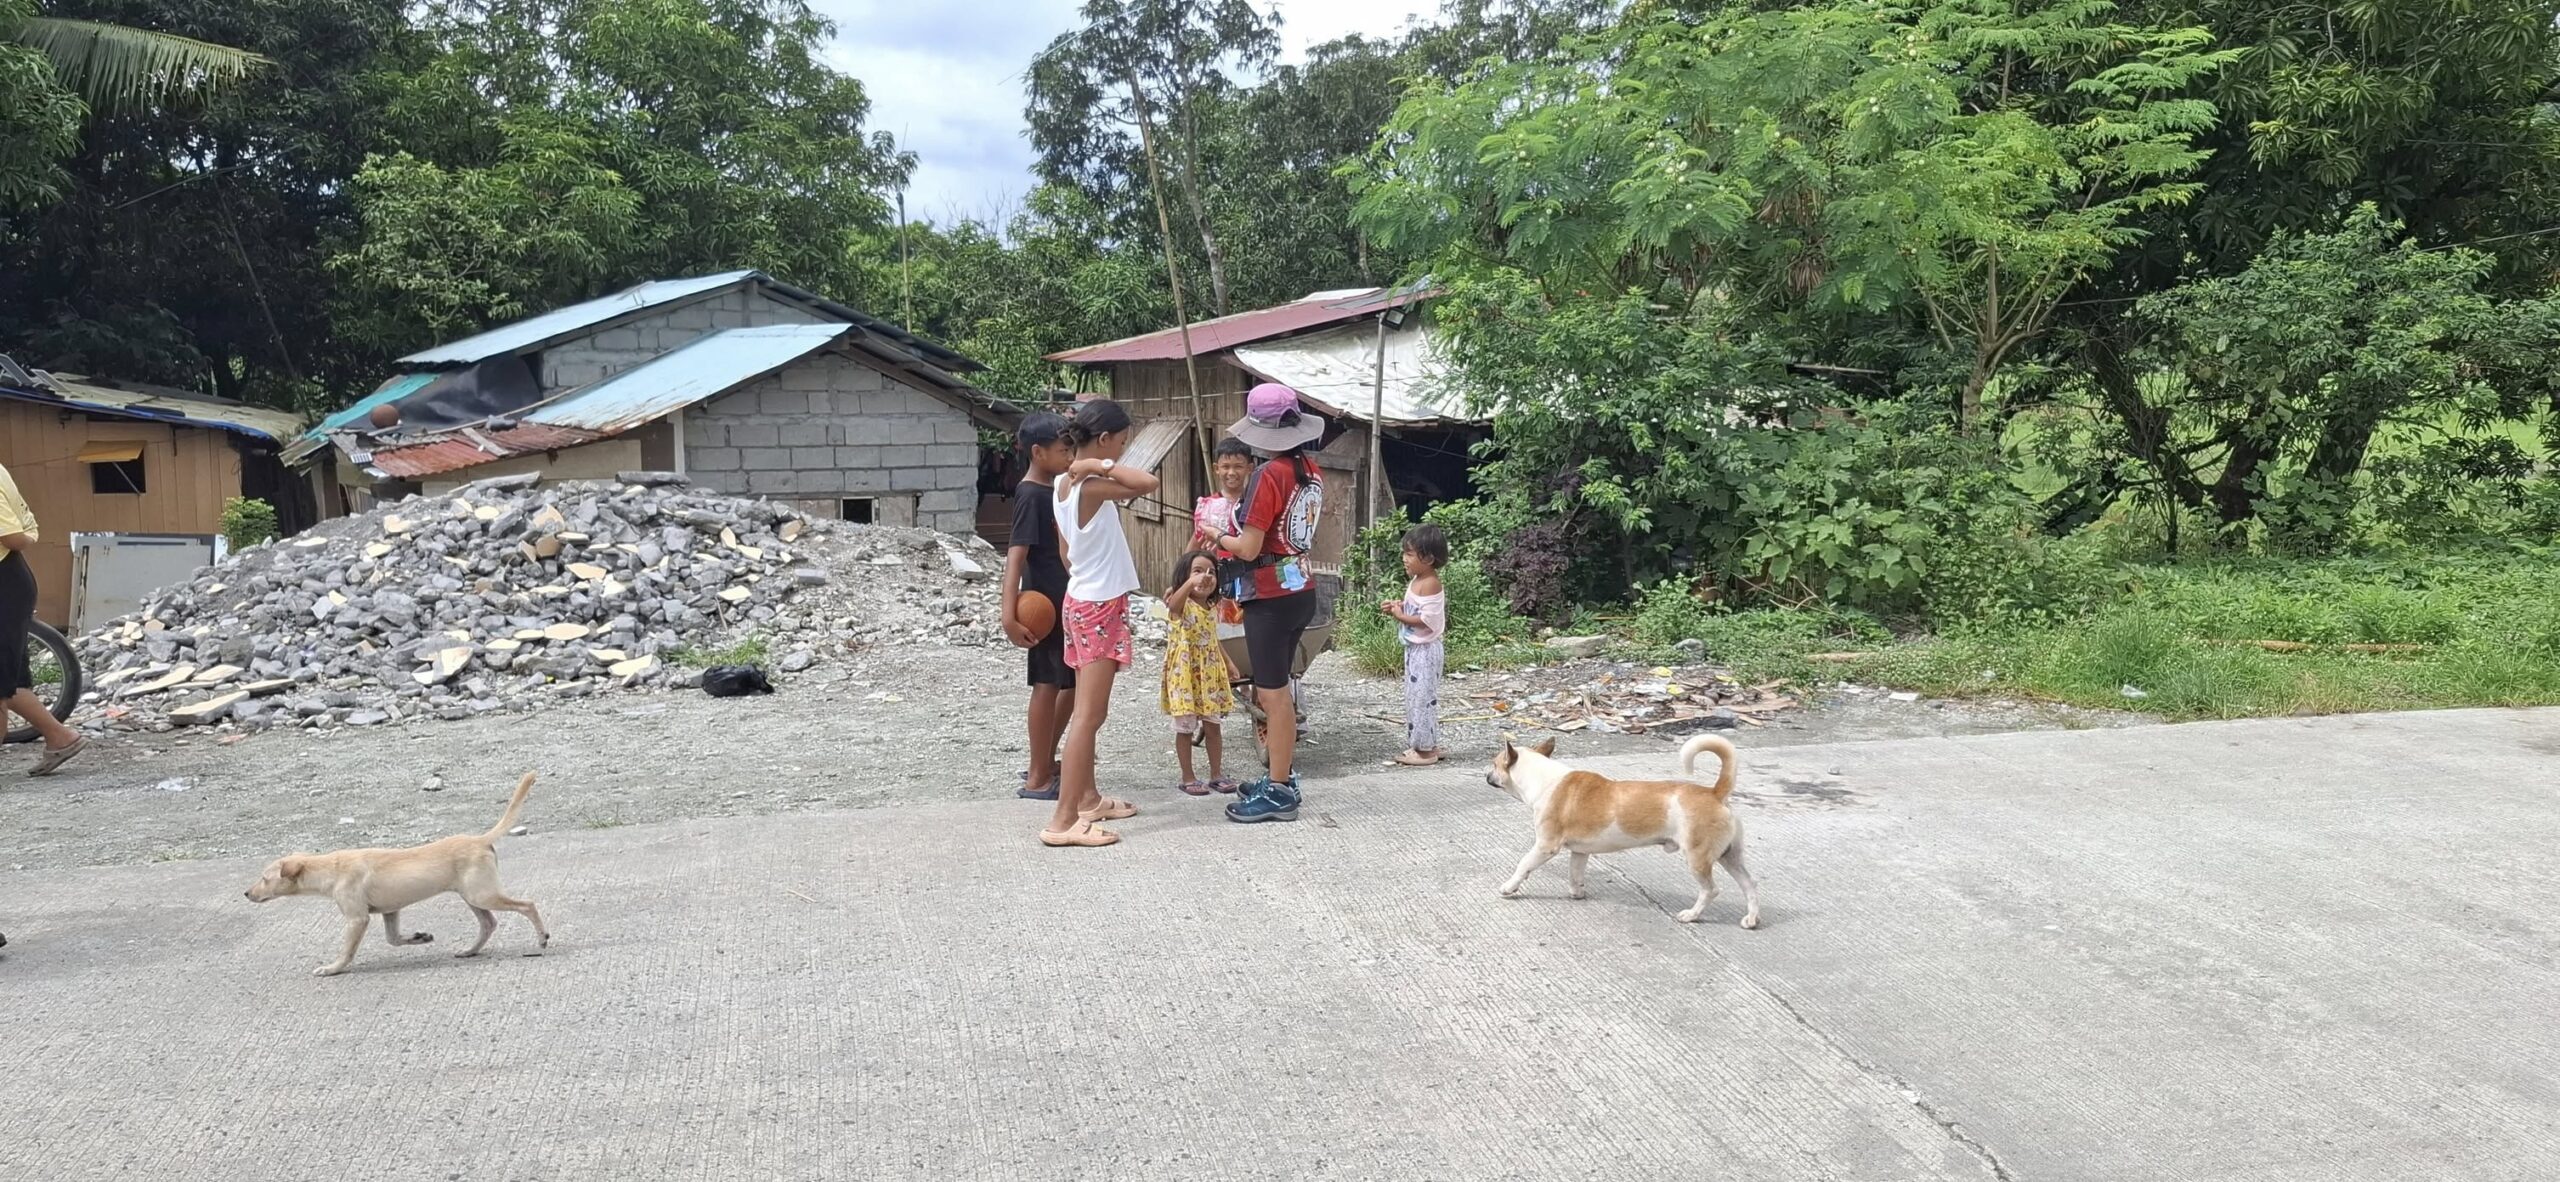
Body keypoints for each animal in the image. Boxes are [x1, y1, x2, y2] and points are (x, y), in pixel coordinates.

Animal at [244, 772, 552, 976]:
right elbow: (393, 939)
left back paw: (542, 937)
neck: (330, 867)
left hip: (482, 894)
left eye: (264, 878)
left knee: (527, 905)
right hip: (472, 896)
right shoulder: (390, 911)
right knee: (488, 924)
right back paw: (470, 950)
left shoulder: (357, 919)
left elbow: (347, 950)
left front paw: (332, 968)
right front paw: (419, 937)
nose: (246, 893)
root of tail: (479, 839)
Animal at [1485, 734, 1761, 928]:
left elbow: (1523, 865)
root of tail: (1715, 793)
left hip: (1697, 858)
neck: (1543, 779)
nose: (1485, 774)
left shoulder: (1546, 846)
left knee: (1710, 890)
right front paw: (1577, 893)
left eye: (1494, 764)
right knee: (1750, 884)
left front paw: (1509, 887)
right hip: (1730, 857)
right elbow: (1575, 874)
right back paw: (1751, 919)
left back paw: (1692, 915)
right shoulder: (1580, 852)